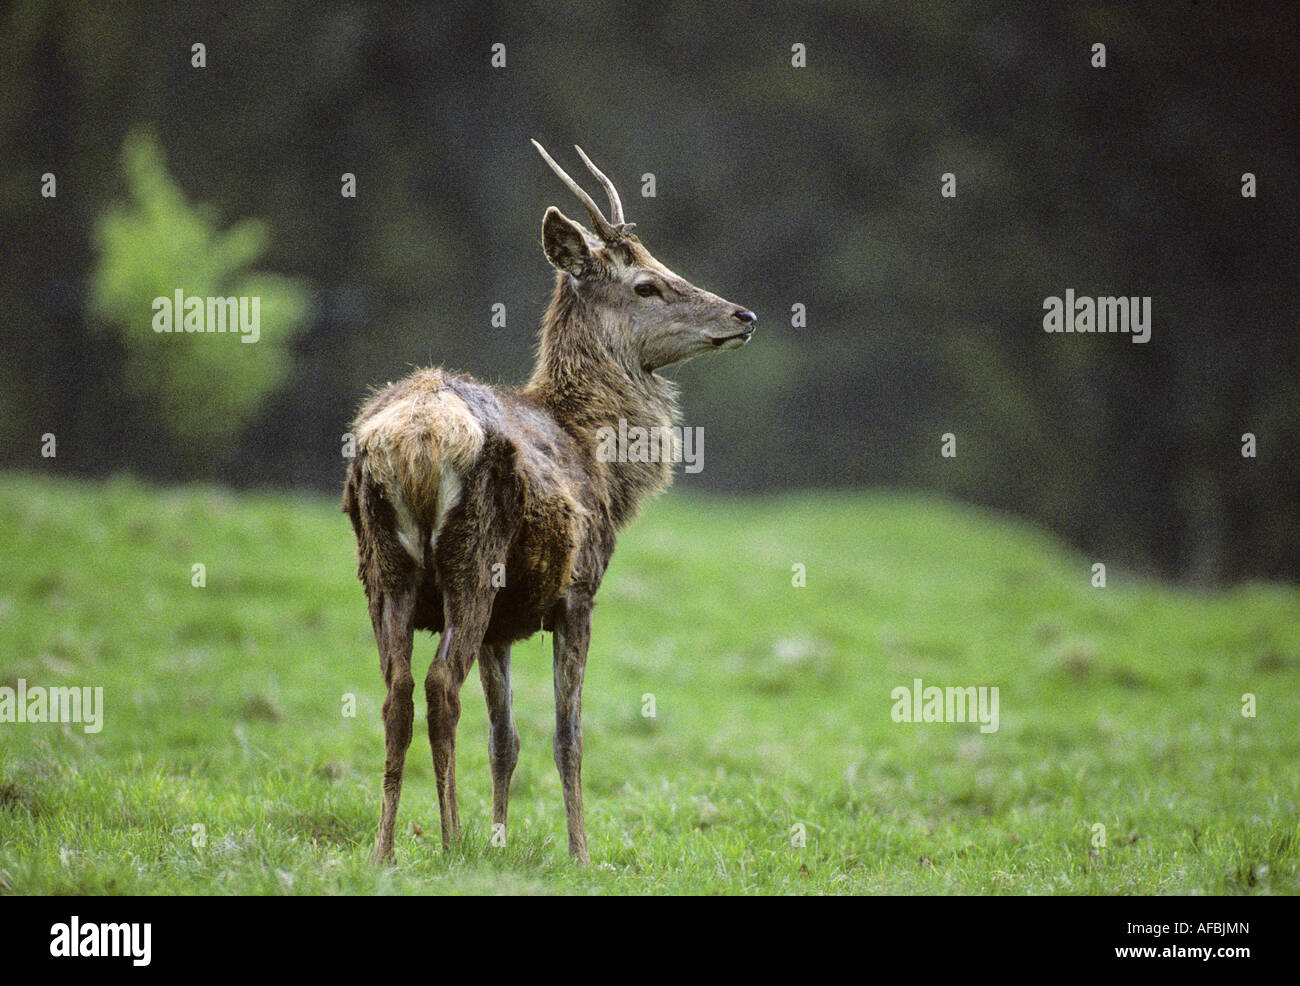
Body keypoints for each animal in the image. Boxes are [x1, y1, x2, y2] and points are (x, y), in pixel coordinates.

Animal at [340, 141, 759, 863]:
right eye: (645, 284)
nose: (742, 315)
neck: (597, 453)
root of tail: (416, 441)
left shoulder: (504, 628)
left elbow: (505, 740)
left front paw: (503, 840)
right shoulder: (578, 590)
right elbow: (569, 736)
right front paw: (580, 853)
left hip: (384, 570)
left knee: (396, 693)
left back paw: (385, 850)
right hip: (472, 557)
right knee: (439, 687)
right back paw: (450, 842)